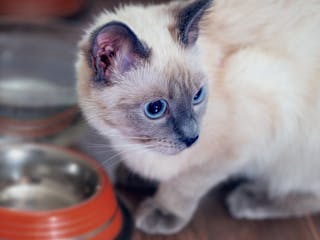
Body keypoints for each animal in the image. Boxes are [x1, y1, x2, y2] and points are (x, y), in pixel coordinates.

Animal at [76, 0, 320, 235]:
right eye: (155, 108)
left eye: (197, 96)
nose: (192, 138)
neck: (132, 143)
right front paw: (136, 176)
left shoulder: (242, 140)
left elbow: (186, 182)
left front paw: (164, 210)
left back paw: (250, 198)